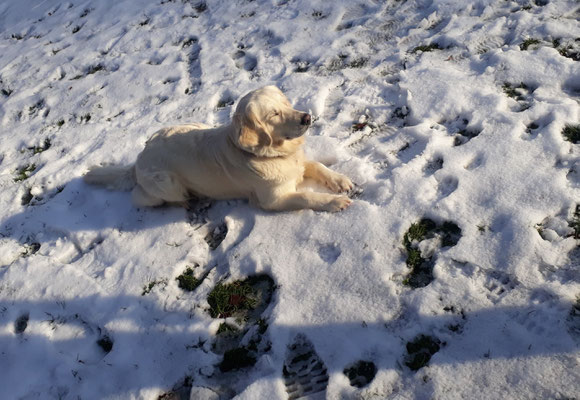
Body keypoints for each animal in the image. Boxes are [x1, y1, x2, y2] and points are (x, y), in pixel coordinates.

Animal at [83, 86, 352, 212]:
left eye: (285, 103)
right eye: (273, 114)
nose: (307, 118)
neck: (266, 154)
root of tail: (139, 159)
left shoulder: (298, 163)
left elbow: (318, 165)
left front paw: (340, 181)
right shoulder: (272, 199)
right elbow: (307, 196)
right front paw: (334, 202)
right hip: (166, 183)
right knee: (142, 197)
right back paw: (186, 202)